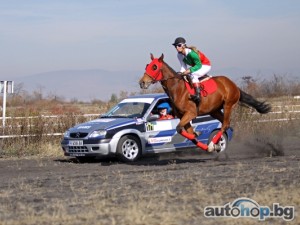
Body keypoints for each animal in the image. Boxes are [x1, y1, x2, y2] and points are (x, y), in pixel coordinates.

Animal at [138, 54, 272, 153]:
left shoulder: (191, 113)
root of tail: (234, 86)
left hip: (228, 105)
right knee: (225, 124)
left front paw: (202, 139)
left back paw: (213, 144)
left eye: (154, 67)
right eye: (147, 66)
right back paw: (215, 144)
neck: (177, 89)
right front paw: (199, 138)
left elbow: (179, 129)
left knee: (225, 124)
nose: (142, 82)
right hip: (214, 110)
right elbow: (188, 133)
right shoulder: (182, 116)